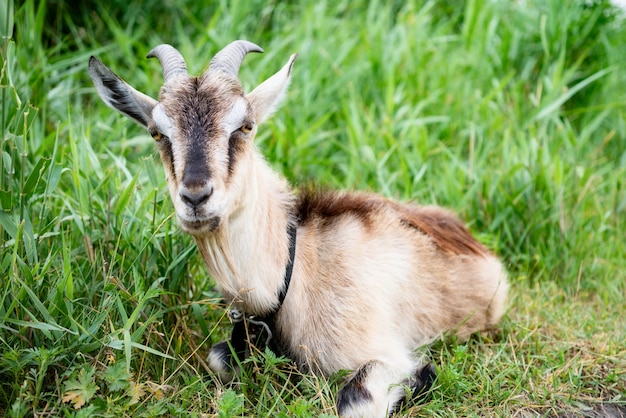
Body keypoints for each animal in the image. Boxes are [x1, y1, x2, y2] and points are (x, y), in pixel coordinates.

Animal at [88, 40, 508, 418]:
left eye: (245, 125)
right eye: (158, 133)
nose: (195, 196)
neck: (294, 268)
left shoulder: (387, 355)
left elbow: (356, 400)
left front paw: (422, 378)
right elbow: (219, 357)